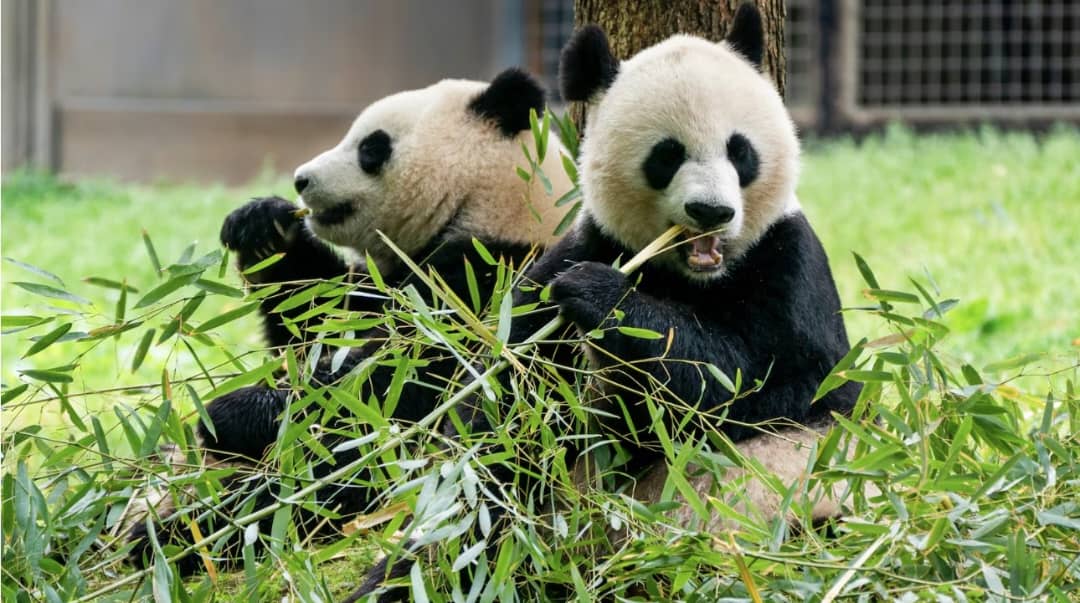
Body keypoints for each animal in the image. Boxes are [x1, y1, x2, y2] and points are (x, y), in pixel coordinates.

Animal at [126, 69, 574, 575]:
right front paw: (262, 226)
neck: (491, 204)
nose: (300, 179)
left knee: (312, 490)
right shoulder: (383, 282)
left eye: (371, 148)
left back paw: (175, 536)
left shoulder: (489, 283)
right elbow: (313, 322)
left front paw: (230, 413)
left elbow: (393, 388)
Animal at [351, 4, 861, 601]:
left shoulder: (789, 266)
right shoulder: (579, 248)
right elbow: (509, 410)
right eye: (667, 155)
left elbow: (759, 384)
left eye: (741, 151)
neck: (690, 277)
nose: (711, 212)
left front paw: (601, 298)